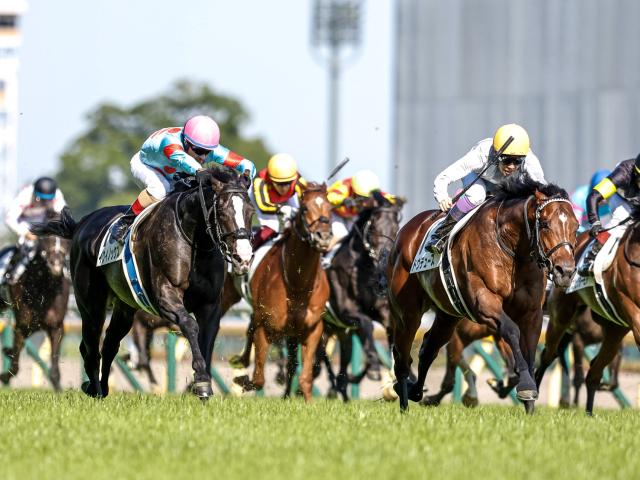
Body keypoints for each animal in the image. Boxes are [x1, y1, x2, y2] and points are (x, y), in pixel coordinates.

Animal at [0, 235, 70, 390]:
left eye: (64, 250)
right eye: (44, 250)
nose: (56, 265)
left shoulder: (56, 326)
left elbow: (54, 364)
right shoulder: (22, 326)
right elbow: (15, 365)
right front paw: (5, 376)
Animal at [33, 168, 254, 399]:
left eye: (250, 211)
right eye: (222, 212)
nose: (243, 257)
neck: (194, 239)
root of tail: (81, 225)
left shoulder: (210, 305)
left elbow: (207, 338)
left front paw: (204, 382)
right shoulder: (165, 297)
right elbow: (190, 325)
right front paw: (201, 381)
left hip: (125, 308)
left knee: (110, 344)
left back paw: (102, 387)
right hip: (91, 305)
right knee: (90, 348)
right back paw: (95, 389)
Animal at [220, 182, 332, 401]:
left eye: (329, 207)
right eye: (304, 209)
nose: (323, 237)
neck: (298, 284)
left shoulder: (312, 329)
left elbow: (305, 379)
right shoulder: (266, 327)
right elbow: (258, 379)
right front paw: (242, 380)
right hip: (227, 296)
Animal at [387, 177, 578, 412]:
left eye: (576, 227)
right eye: (545, 224)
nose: (565, 271)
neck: (513, 250)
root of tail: (406, 231)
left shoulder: (532, 313)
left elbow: (530, 349)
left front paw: (530, 403)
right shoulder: (484, 302)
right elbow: (512, 331)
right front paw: (525, 386)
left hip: (448, 316)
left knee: (428, 348)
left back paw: (416, 392)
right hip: (408, 312)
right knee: (402, 355)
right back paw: (403, 399)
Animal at [535, 226, 637, 414]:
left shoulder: (618, 335)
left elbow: (611, 376)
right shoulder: (578, 339)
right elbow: (578, 376)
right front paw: (575, 404)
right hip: (561, 321)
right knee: (550, 354)